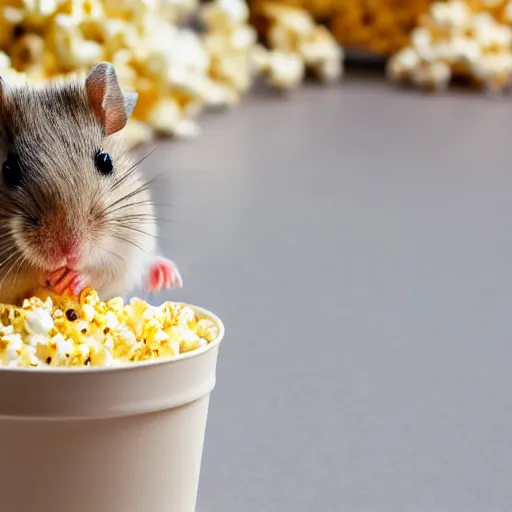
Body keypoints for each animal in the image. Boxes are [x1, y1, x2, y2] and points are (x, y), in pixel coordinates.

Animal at [0, 62, 182, 306]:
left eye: (105, 161)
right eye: (8, 169)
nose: (68, 254)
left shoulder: (128, 249)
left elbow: (104, 273)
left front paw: (71, 279)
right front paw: (51, 276)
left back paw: (165, 274)